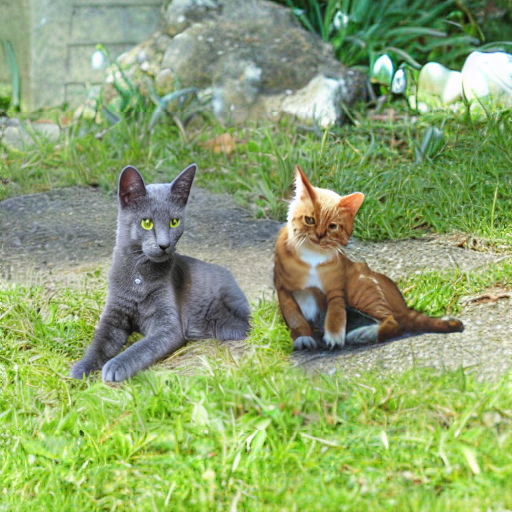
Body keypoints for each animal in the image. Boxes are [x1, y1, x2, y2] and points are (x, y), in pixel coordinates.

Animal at [70, 164, 250, 381]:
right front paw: (80, 368)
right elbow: (98, 343)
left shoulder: (168, 326)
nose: (164, 245)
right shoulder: (113, 314)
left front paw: (115, 366)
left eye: (174, 222)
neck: (139, 277)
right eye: (146, 223)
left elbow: (141, 347)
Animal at [274, 165, 464, 351]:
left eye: (333, 226)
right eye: (309, 220)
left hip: (360, 289)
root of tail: (403, 305)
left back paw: (365, 333)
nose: (319, 235)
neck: (312, 256)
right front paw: (303, 337)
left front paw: (334, 336)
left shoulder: (336, 288)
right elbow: (295, 317)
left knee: (393, 323)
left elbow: (335, 312)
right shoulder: (284, 291)